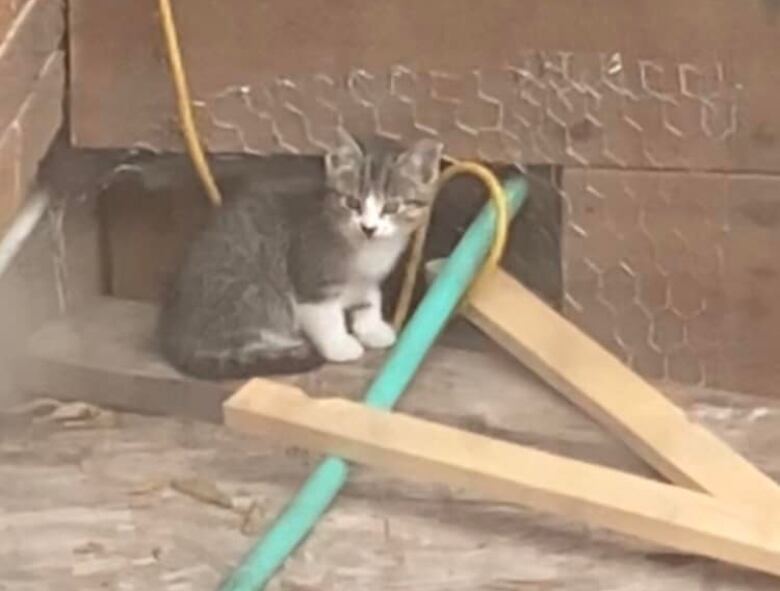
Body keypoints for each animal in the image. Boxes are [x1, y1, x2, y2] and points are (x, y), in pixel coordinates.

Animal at [157, 130, 444, 380]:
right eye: (352, 203)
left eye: (392, 207)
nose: (368, 228)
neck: (366, 248)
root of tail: (174, 336)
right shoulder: (312, 272)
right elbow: (325, 315)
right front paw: (339, 345)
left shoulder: (367, 277)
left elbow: (370, 296)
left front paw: (372, 327)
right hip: (251, 292)